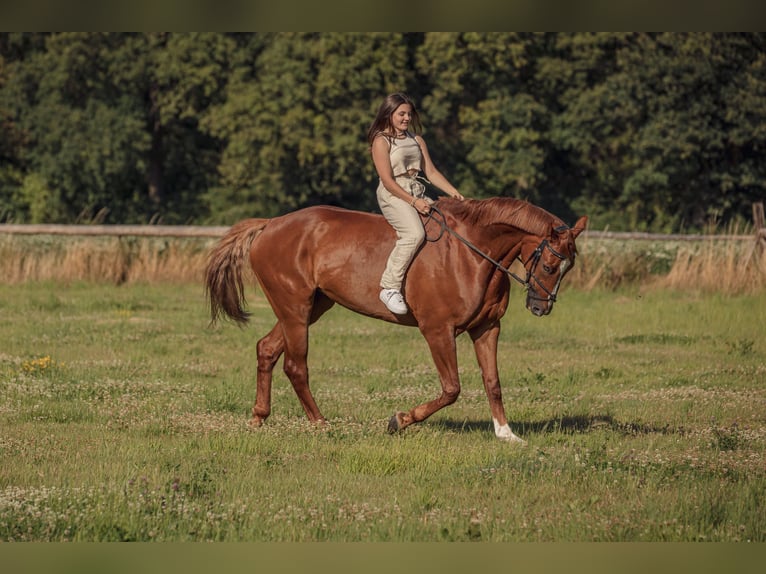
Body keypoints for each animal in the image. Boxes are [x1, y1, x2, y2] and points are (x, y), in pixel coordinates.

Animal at [204, 198, 588, 446]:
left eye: (567, 268)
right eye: (550, 266)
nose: (540, 307)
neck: (472, 254)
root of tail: (270, 225)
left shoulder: (487, 329)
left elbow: (493, 382)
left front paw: (506, 434)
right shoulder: (438, 331)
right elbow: (451, 388)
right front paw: (399, 421)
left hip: (311, 307)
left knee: (267, 349)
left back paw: (258, 417)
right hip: (295, 308)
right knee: (296, 366)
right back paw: (321, 424)